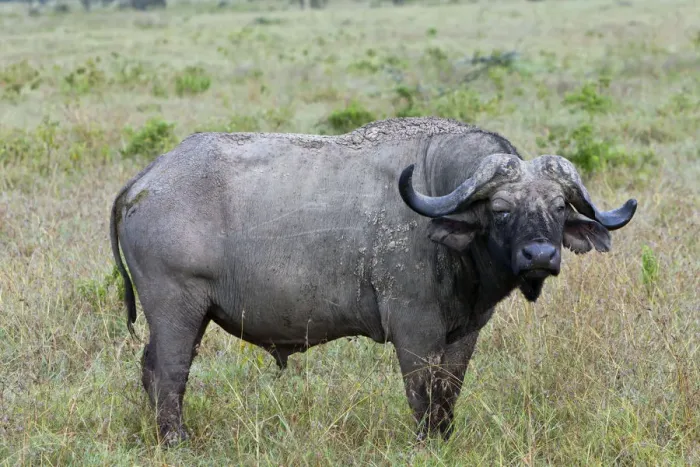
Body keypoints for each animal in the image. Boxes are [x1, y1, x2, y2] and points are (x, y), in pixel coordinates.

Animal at [110, 117, 637, 444]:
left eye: (558, 208)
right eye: (502, 210)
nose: (540, 255)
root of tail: (146, 179)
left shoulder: (465, 331)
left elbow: (449, 391)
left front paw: (445, 439)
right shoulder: (414, 329)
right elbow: (422, 393)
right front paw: (426, 443)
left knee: (150, 369)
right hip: (178, 310)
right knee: (169, 373)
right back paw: (177, 440)